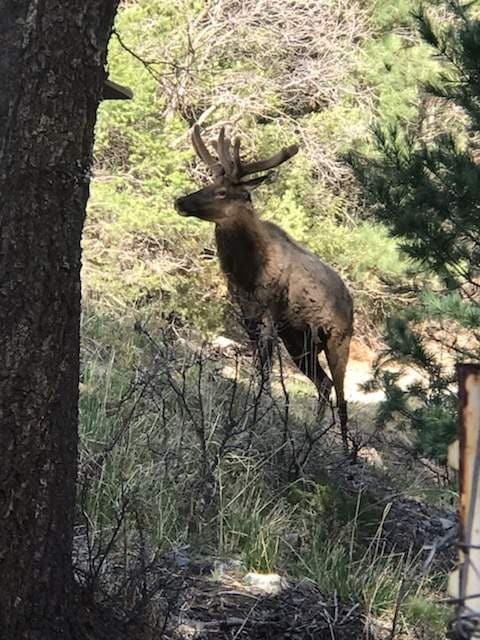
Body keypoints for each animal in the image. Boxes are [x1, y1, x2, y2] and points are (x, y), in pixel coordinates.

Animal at [174, 125, 354, 450]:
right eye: (209, 182)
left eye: (222, 192)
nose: (180, 201)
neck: (248, 270)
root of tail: (351, 303)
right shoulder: (247, 312)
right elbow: (258, 368)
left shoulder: (269, 312)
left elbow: (265, 372)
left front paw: (258, 417)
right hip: (299, 341)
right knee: (324, 384)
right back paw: (312, 435)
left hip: (338, 339)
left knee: (343, 397)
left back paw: (346, 452)